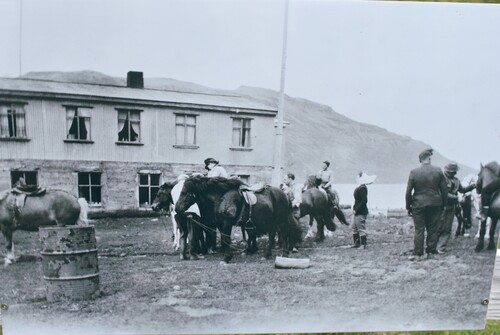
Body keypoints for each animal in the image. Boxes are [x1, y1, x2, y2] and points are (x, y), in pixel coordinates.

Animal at [174, 177, 302, 264]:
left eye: (185, 192)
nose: (176, 208)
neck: (222, 197)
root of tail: (284, 194)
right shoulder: (221, 223)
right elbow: (225, 239)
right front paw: (227, 256)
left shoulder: (227, 222)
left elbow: (226, 238)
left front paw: (226, 258)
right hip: (271, 221)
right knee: (272, 236)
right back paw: (266, 255)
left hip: (280, 219)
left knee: (284, 234)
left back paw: (284, 253)